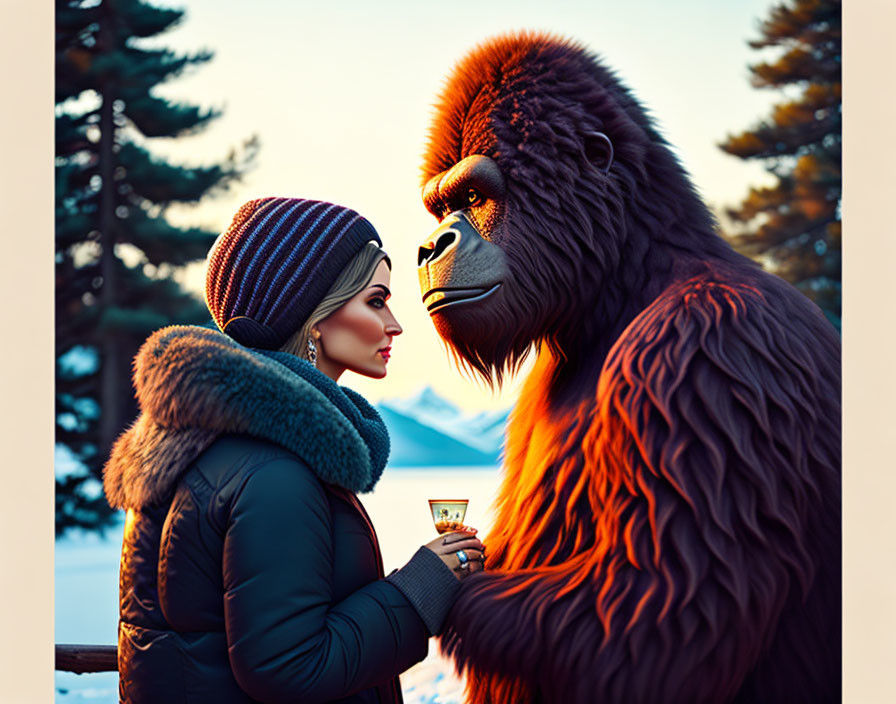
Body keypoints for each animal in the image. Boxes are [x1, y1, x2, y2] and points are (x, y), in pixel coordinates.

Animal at [416, 30, 836, 700]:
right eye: (439, 209)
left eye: (475, 197)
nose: (431, 246)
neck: (624, 283)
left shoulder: (707, 351)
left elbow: (646, 628)